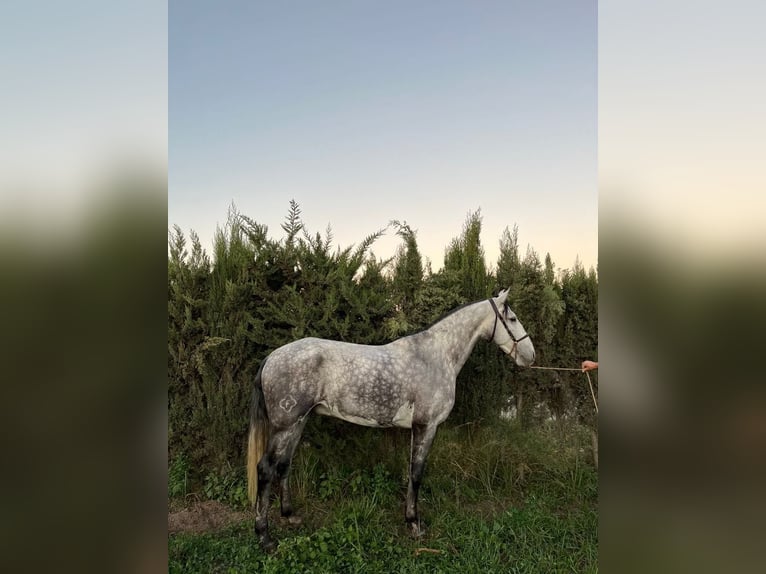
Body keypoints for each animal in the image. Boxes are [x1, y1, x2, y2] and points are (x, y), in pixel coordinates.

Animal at [246, 290, 536, 552]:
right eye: (512, 318)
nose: (530, 355)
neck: (436, 356)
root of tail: (271, 358)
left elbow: (411, 472)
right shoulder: (426, 426)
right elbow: (416, 474)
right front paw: (415, 524)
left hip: (297, 423)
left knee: (284, 464)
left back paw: (289, 516)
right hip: (285, 426)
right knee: (265, 469)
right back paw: (264, 537)